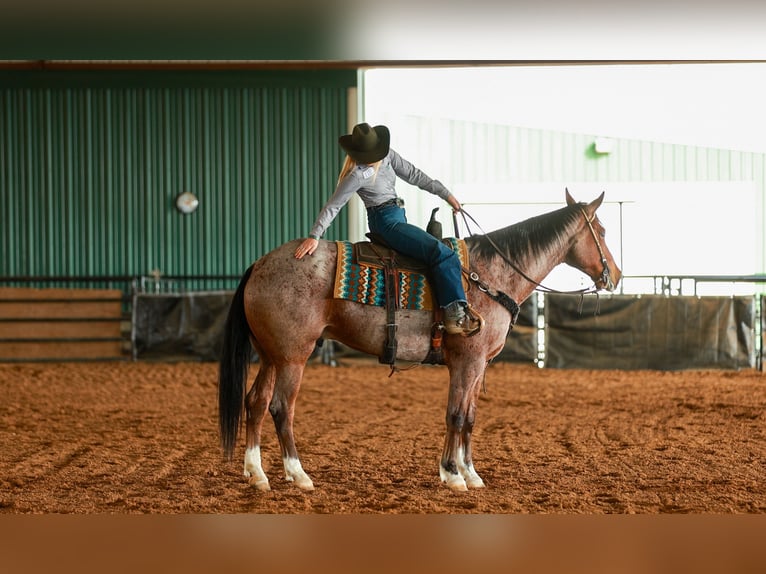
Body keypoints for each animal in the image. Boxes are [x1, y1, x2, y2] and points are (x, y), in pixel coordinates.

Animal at [218, 189, 622, 492]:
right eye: (601, 231)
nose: (614, 275)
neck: (490, 275)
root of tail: (260, 264)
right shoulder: (466, 362)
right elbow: (455, 414)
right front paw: (452, 474)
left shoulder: (478, 366)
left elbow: (470, 417)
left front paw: (472, 473)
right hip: (293, 358)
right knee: (280, 408)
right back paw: (298, 474)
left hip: (271, 355)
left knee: (255, 403)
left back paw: (257, 474)